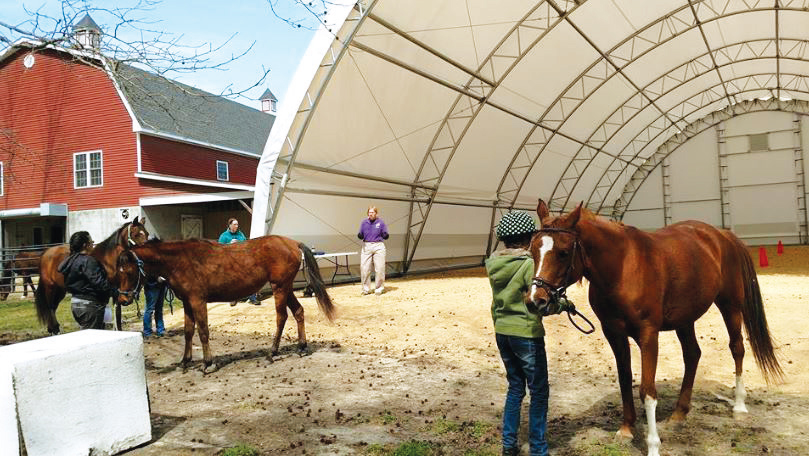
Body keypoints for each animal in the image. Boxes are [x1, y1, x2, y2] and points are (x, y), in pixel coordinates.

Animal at [119, 235, 334, 370]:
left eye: (128, 271)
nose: (122, 299)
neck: (181, 260)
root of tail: (292, 243)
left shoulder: (198, 301)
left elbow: (203, 331)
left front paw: (208, 363)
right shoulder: (188, 303)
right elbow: (188, 332)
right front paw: (185, 361)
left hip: (280, 287)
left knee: (281, 317)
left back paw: (272, 352)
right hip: (286, 287)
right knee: (298, 312)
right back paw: (302, 347)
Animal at [528, 200, 780, 456]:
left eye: (563, 252)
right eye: (532, 251)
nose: (535, 301)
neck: (622, 267)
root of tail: (721, 235)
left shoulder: (648, 334)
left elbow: (647, 391)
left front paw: (653, 445)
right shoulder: (613, 333)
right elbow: (624, 378)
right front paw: (626, 428)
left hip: (730, 306)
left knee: (737, 348)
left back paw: (739, 406)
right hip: (685, 319)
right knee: (692, 355)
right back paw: (679, 413)